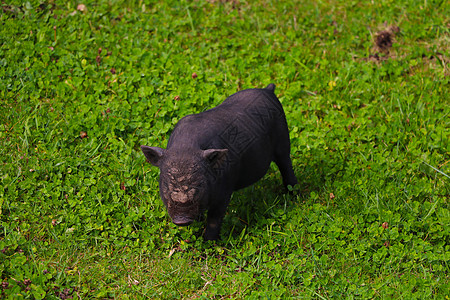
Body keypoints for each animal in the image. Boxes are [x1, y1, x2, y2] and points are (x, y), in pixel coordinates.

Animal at [140, 83, 296, 240]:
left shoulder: (225, 188)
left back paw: (292, 194)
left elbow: (215, 218)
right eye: (166, 184)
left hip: (283, 136)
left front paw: (208, 241)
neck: (185, 148)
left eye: (199, 183)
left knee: (286, 163)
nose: (181, 219)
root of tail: (268, 90)